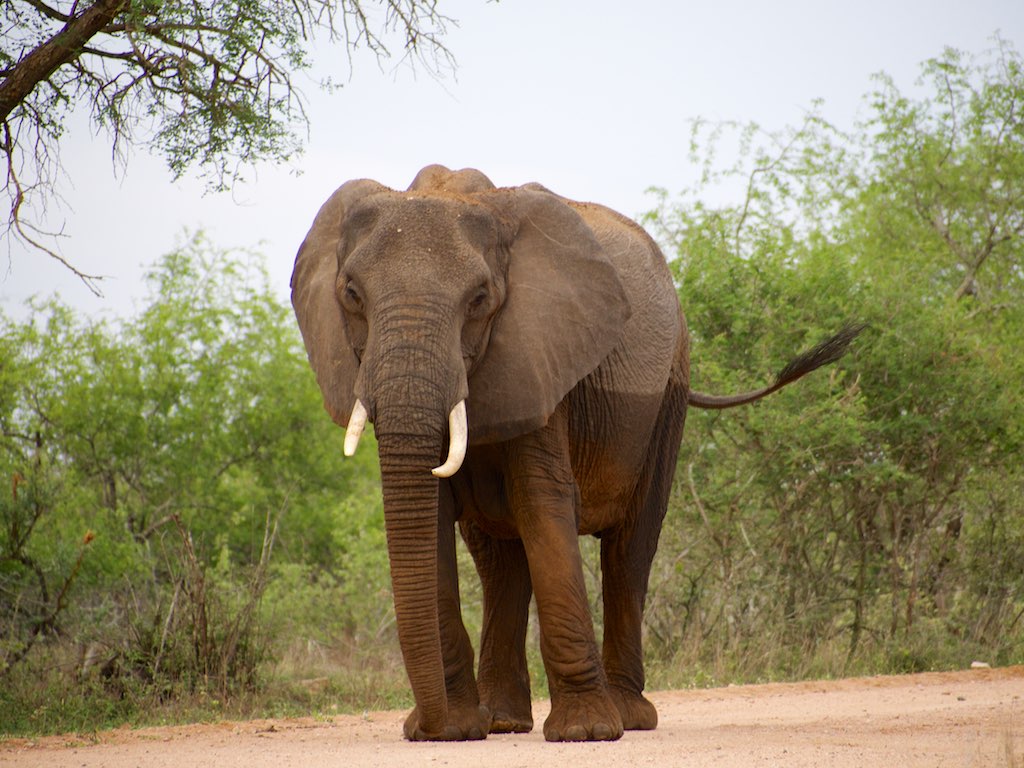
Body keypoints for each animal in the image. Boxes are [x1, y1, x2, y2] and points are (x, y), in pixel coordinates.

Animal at [290, 164, 860, 743]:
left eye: (480, 298)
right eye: (351, 293)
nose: (427, 727)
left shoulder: (544, 354)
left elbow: (542, 502)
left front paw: (585, 731)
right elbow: (434, 514)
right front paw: (455, 729)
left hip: (669, 394)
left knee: (630, 551)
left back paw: (628, 717)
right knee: (501, 562)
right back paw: (504, 721)